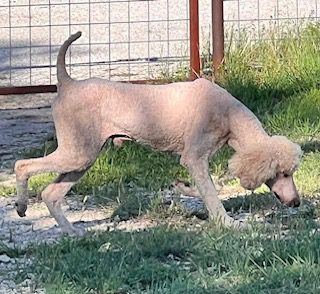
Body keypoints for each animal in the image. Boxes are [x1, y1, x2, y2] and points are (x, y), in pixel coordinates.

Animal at [13, 31, 302, 234]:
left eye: (290, 173)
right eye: (282, 173)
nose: (297, 202)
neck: (229, 113)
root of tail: (68, 83)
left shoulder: (203, 159)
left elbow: (209, 185)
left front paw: (183, 187)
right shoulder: (194, 157)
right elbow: (211, 192)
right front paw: (228, 223)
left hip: (82, 158)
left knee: (50, 194)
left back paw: (72, 232)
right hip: (78, 152)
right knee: (22, 165)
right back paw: (21, 205)